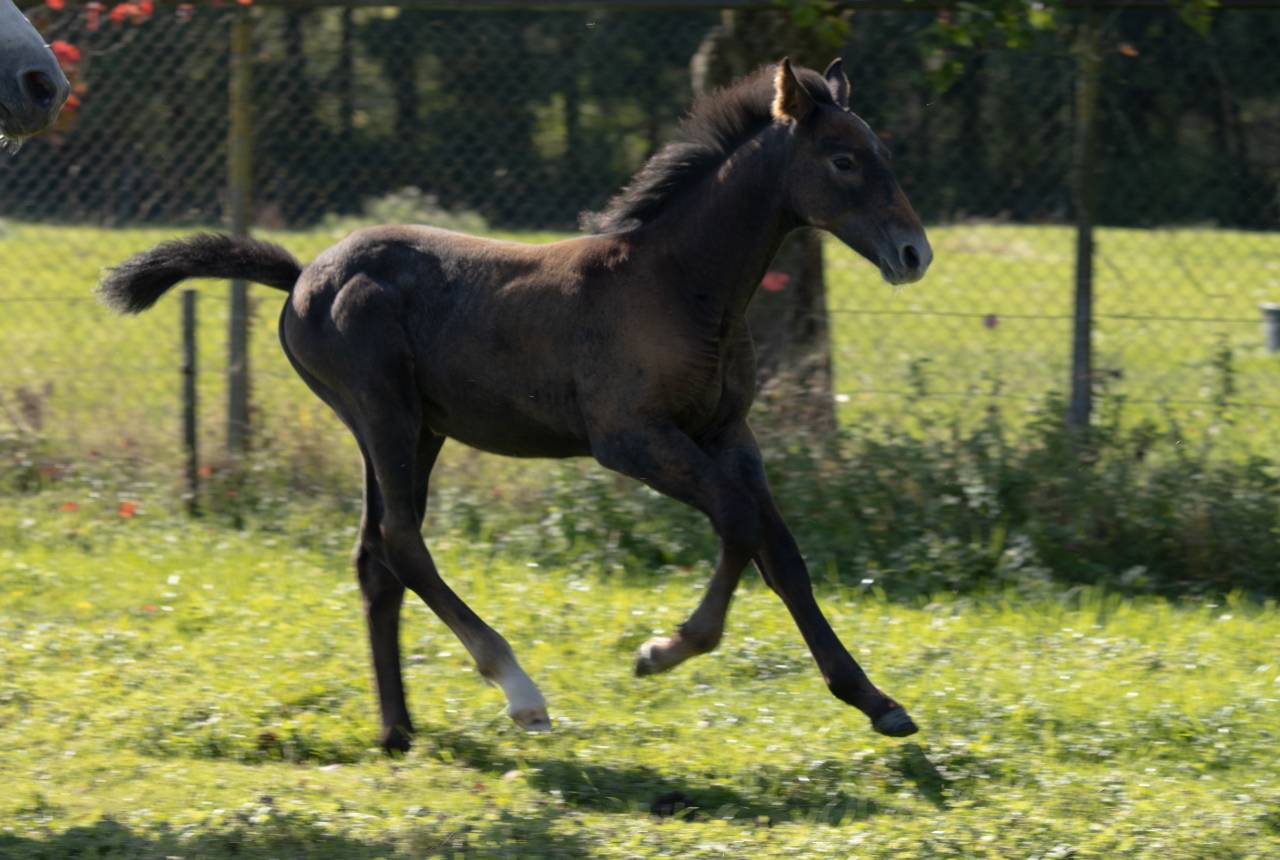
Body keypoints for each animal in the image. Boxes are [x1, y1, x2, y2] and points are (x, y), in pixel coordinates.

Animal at [98, 58, 932, 752]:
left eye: (881, 153)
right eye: (844, 159)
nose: (913, 252)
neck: (678, 286)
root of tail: (306, 277)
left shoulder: (729, 433)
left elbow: (779, 551)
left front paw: (876, 701)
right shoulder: (631, 439)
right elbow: (737, 521)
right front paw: (664, 649)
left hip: (416, 431)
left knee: (375, 556)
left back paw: (397, 730)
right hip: (383, 415)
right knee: (401, 541)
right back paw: (518, 690)